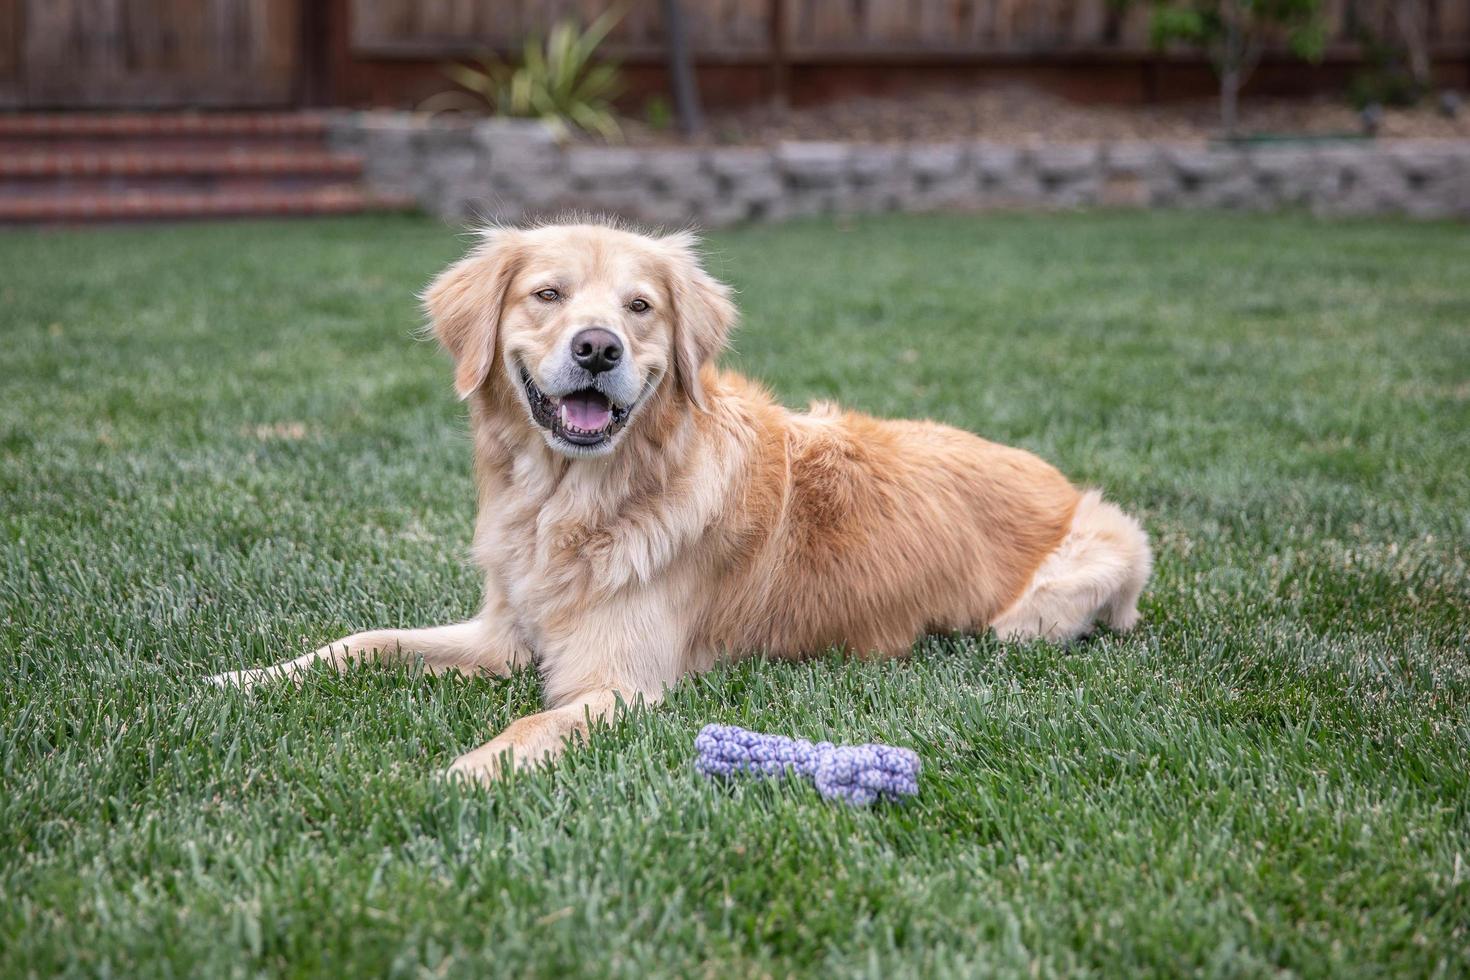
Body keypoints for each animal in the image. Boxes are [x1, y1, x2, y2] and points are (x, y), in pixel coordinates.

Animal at [210, 221, 1146, 781]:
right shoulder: (503, 633)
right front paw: (244, 677)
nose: (597, 347)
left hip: (1078, 574)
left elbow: (530, 727)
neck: (572, 505)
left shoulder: (619, 683)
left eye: (641, 307)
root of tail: (1058, 478)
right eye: (547, 294)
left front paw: (462, 773)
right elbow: (362, 642)